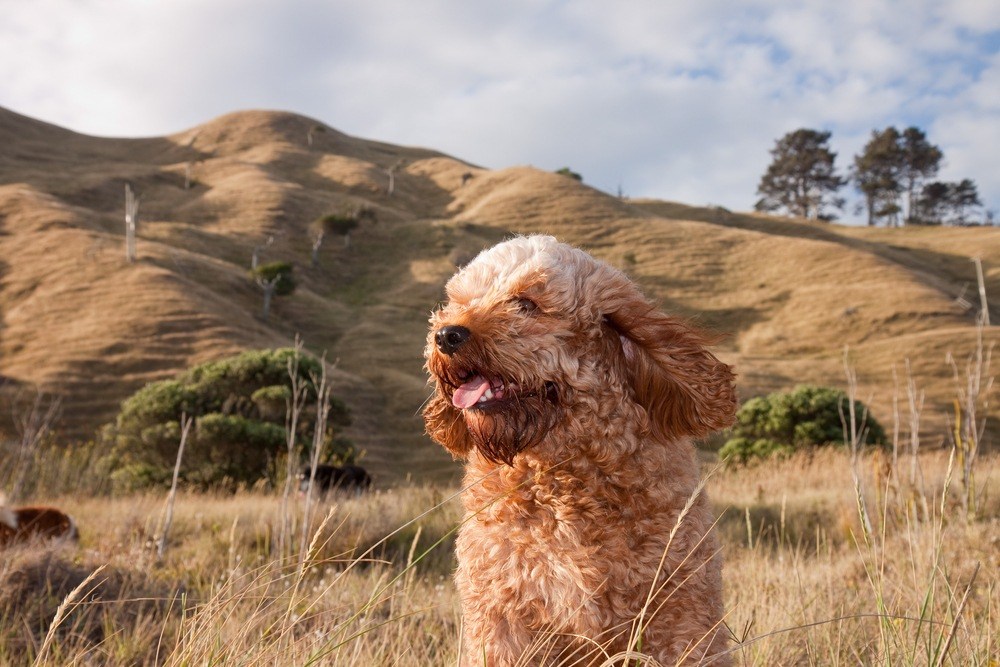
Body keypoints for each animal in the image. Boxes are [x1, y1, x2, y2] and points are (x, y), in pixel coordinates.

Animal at [422, 237, 736, 664]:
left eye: (526, 303)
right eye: (457, 302)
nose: (446, 335)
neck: (561, 482)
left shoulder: (680, 616)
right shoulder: (502, 620)